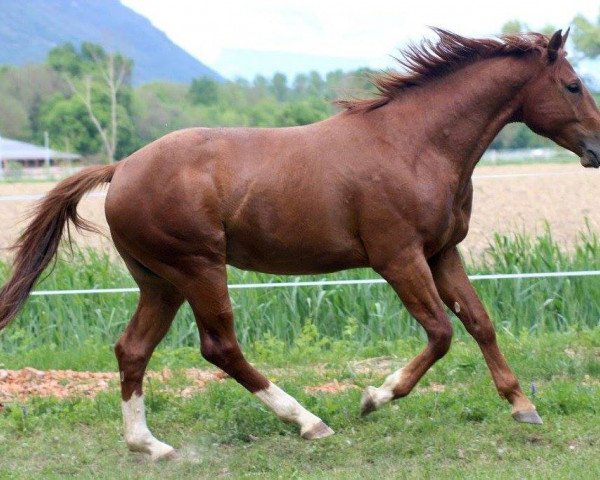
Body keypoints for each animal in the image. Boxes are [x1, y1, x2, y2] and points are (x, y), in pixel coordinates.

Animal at [1, 28, 600, 460]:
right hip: (198, 268)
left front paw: (522, 405)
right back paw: (310, 422)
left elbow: (480, 322)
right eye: (573, 85)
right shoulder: (398, 258)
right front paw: (373, 397)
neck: (414, 145)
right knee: (219, 347)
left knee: (132, 349)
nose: (597, 147)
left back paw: (149, 445)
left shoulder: (441, 252)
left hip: (160, 281)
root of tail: (121, 167)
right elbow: (441, 332)